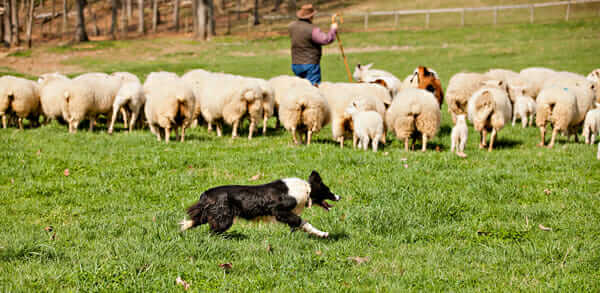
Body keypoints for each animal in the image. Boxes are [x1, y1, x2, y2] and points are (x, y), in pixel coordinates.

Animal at [178, 170, 340, 236]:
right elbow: (303, 222)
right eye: (328, 190)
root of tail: (206, 193)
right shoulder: (279, 211)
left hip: (211, 214)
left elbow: (299, 224)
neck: (306, 189)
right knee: (212, 231)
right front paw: (323, 234)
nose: (339, 197)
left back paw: (181, 231)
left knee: (193, 221)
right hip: (224, 218)